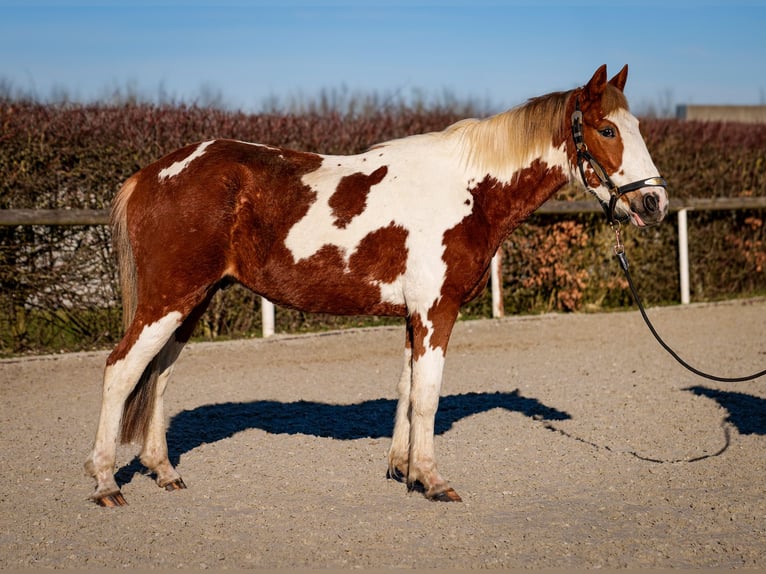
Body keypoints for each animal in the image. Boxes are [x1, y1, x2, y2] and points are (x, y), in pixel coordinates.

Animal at [87, 65, 668, 508]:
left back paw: (163, 471)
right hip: (168, 299)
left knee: (159, 375)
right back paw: (106, 483)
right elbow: (428, 397)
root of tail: (151, 174)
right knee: (121, 371)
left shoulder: (414, 316)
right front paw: (433, 481)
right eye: (608, 131)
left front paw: (403, 472)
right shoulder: (436, 312)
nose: (654, 202)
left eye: (636, 125)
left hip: (192, 300)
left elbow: (407, 391)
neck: (468, 190)